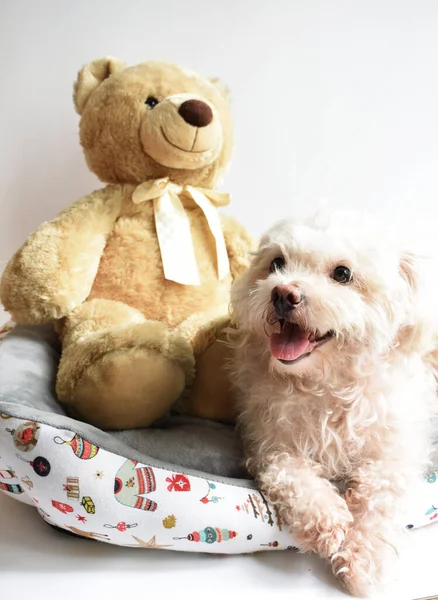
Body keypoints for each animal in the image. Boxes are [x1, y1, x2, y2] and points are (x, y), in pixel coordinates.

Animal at [229, 210, 438, 596]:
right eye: (277, 262)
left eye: (343, 274)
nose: (283, 293)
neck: (326, 386)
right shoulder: (270, 447)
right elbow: (292, 474)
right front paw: (325, 521)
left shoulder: (395, 454)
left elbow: (378, 497)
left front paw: (362, 560)